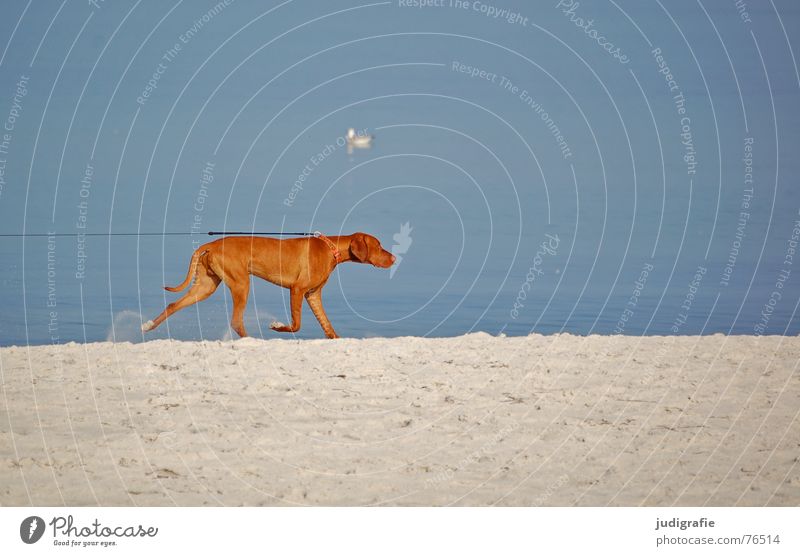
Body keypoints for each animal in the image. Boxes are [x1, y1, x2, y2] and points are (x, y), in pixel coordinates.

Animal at [143, 231, 396, 338]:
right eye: (379, 245)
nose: (394, 258)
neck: (330, 248)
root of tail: (211, 244)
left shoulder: (313, 295)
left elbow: (329, 328)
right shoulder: (297, 290)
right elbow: (296, 325)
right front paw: (277, 326)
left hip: (206, 286)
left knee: (173, 305)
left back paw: (149, 326)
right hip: (241, 284)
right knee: (236, 321)